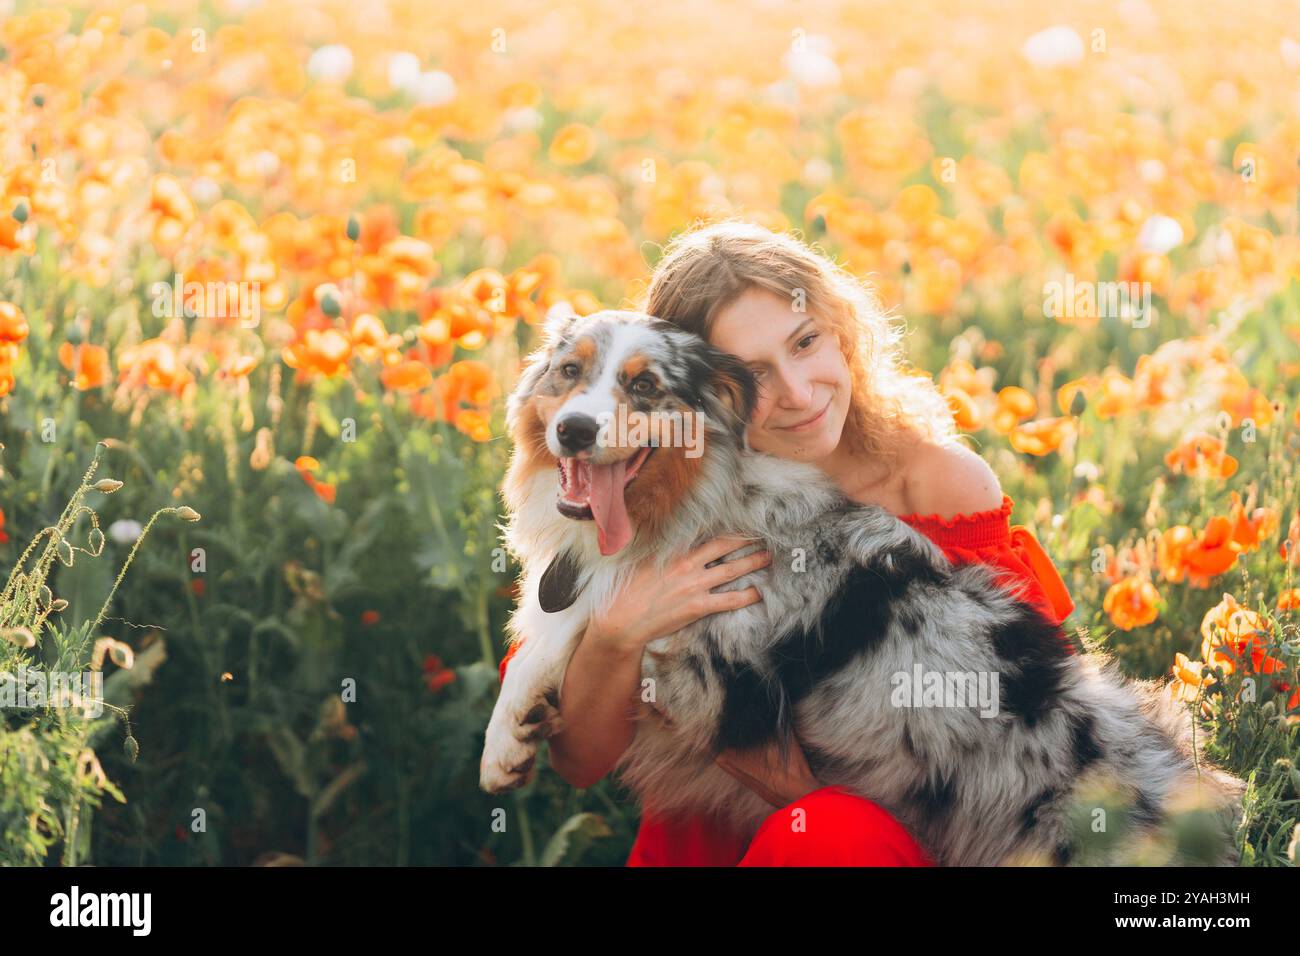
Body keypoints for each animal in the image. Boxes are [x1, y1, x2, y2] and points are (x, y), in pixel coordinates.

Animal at [480, 306, 1248, 868]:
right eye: (569, 371)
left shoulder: (722, 680)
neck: (695, 504)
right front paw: (513, 736)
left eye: (644, 386)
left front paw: (507, 734)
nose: (576, 431)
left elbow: (589, 619)